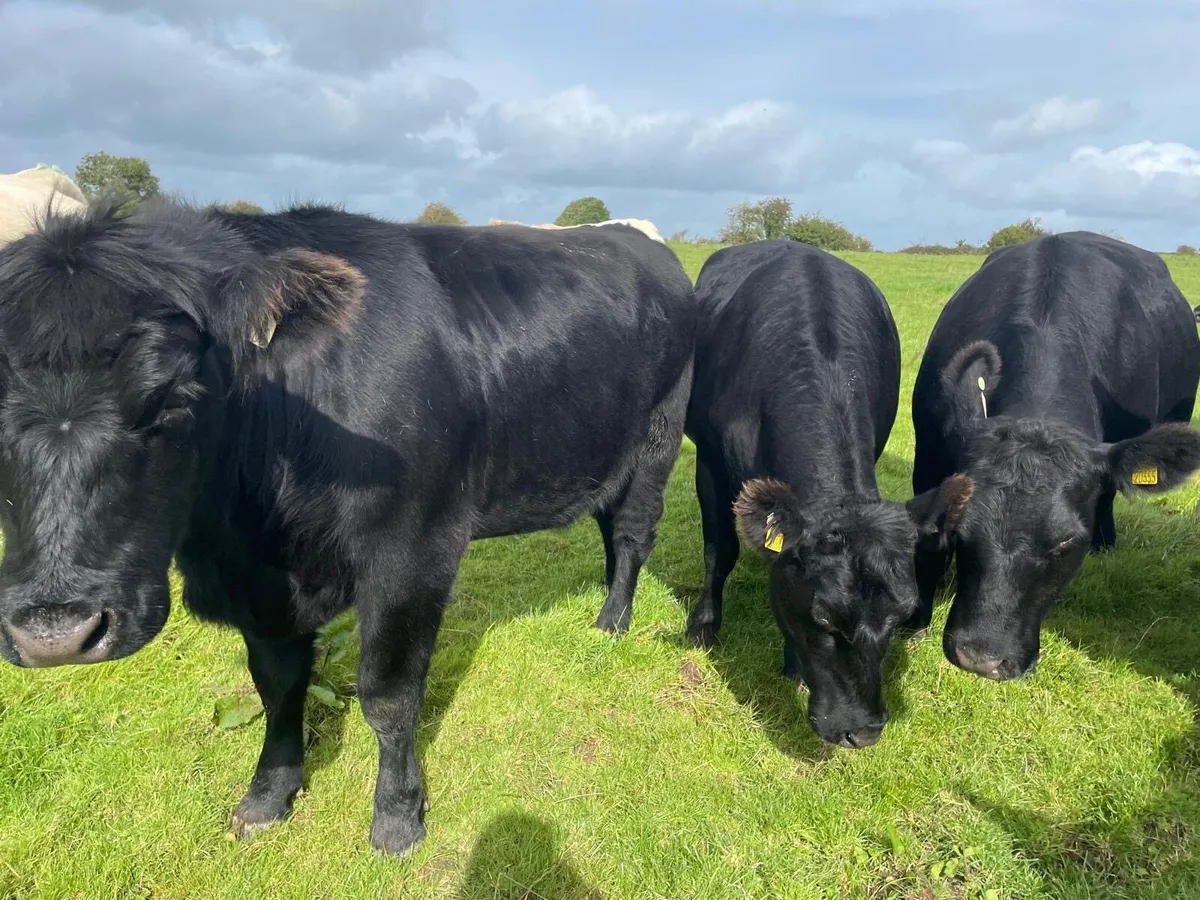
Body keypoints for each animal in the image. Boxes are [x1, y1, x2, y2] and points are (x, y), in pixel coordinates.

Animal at [0, 198, 696, 855]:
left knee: (632, 535)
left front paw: (397, 816)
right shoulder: (262, 586)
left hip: (657, 443)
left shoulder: (412, 552)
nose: (56, 634)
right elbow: (278, 686)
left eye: (174, 397)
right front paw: (268, 794)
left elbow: (388, 695)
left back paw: (612, 621)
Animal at [681, 240, 973, 749]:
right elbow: (719, 550)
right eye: (823, 619)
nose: (863, 732)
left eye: (902, 615)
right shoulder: (710, 461)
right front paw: (703, 626)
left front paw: (792, 664)